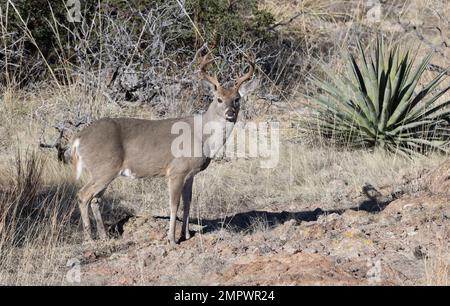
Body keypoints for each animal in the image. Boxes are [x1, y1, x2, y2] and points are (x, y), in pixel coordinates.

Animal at [70, 51, 256, 245]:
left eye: (237, 99)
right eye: (218, 99)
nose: (230, 113)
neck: (202, 137)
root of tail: (78, 138)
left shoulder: (190, 174)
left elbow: (188, 203)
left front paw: (186, 235)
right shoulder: (176, 171)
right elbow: (174, 204)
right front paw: (172, 239)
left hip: (104, 171)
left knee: (96, 199)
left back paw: (104, 236)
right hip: (104, 168)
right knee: (83, 195)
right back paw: (90, 238)